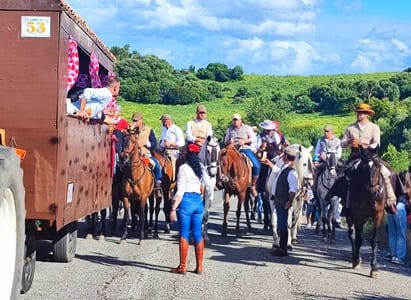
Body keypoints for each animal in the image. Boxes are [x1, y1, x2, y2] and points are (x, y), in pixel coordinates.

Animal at [326, 146, 388, 278]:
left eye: (378, 165)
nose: (374, 192)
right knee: (351, 234)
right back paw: (355, 258)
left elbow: (374, 240)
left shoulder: (378, 215)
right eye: (364, 167)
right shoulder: (358, 215)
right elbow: (358, 239)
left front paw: (374, 268)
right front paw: (356, 261)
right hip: (351, 217)